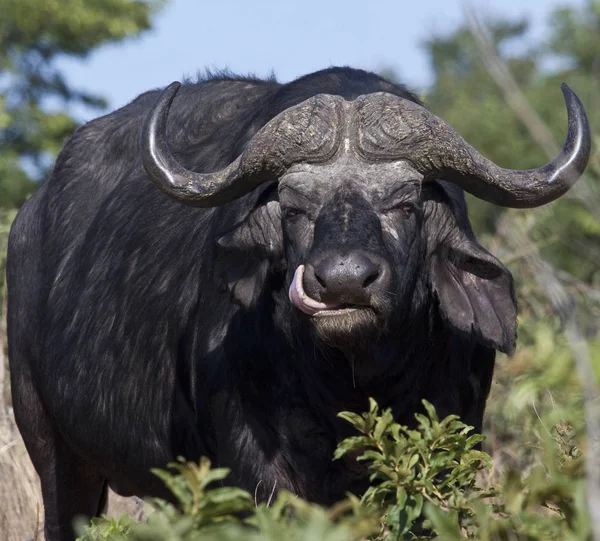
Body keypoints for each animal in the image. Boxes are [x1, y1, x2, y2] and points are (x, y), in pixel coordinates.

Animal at [7, 66, 592, 536]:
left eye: (405, 205)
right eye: (294, 210)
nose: (344, 283)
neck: (355, 386)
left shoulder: (448, 447)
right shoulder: (258, 473)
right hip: (52, 450)